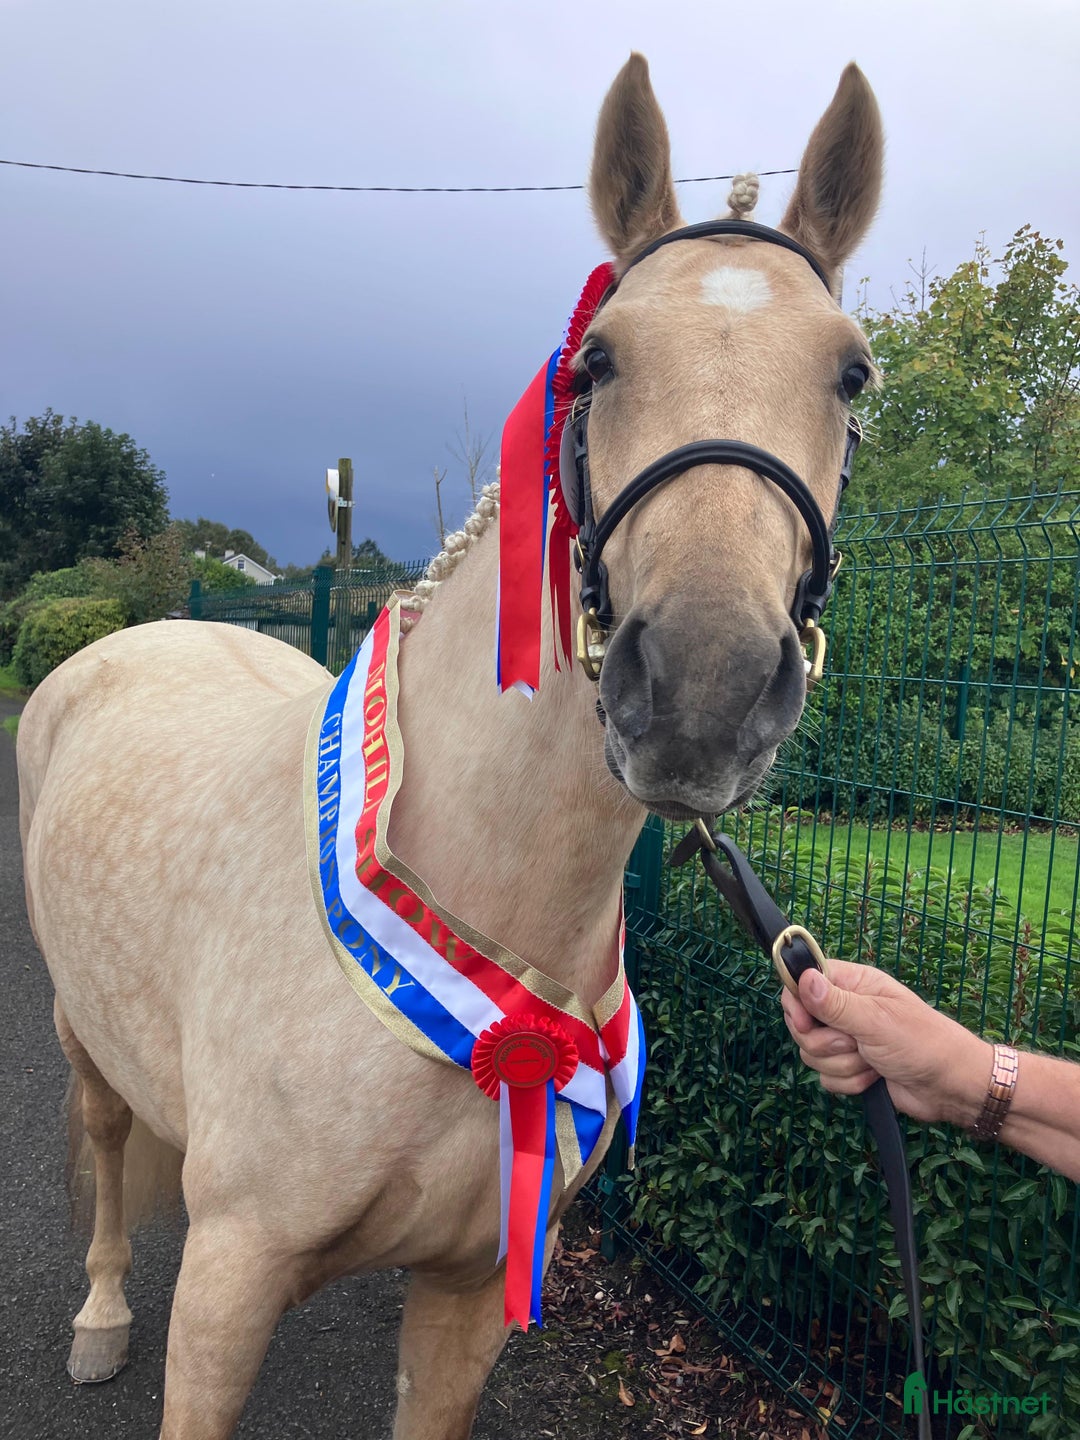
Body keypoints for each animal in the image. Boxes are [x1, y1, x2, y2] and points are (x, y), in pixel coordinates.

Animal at [17, 53, 882, 1440]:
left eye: (851, 376)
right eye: (597, 361)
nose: (701, 685)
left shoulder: (472, 1294)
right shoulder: (229, 1284)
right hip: (80, 1032)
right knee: (102, 1145)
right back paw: (98, 1316)